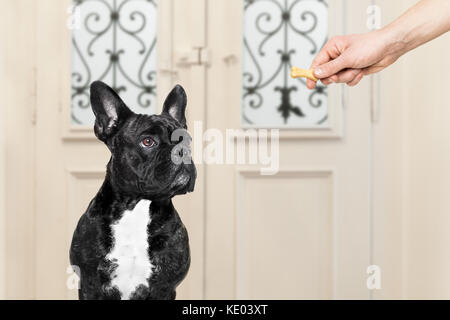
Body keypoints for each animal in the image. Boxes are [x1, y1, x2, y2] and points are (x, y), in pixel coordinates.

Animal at [70, 80, 195, 300]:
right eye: (148, 142)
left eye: (186, 141)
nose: (181, 151)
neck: (137, 207)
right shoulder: (89, 285)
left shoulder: (165, 287)